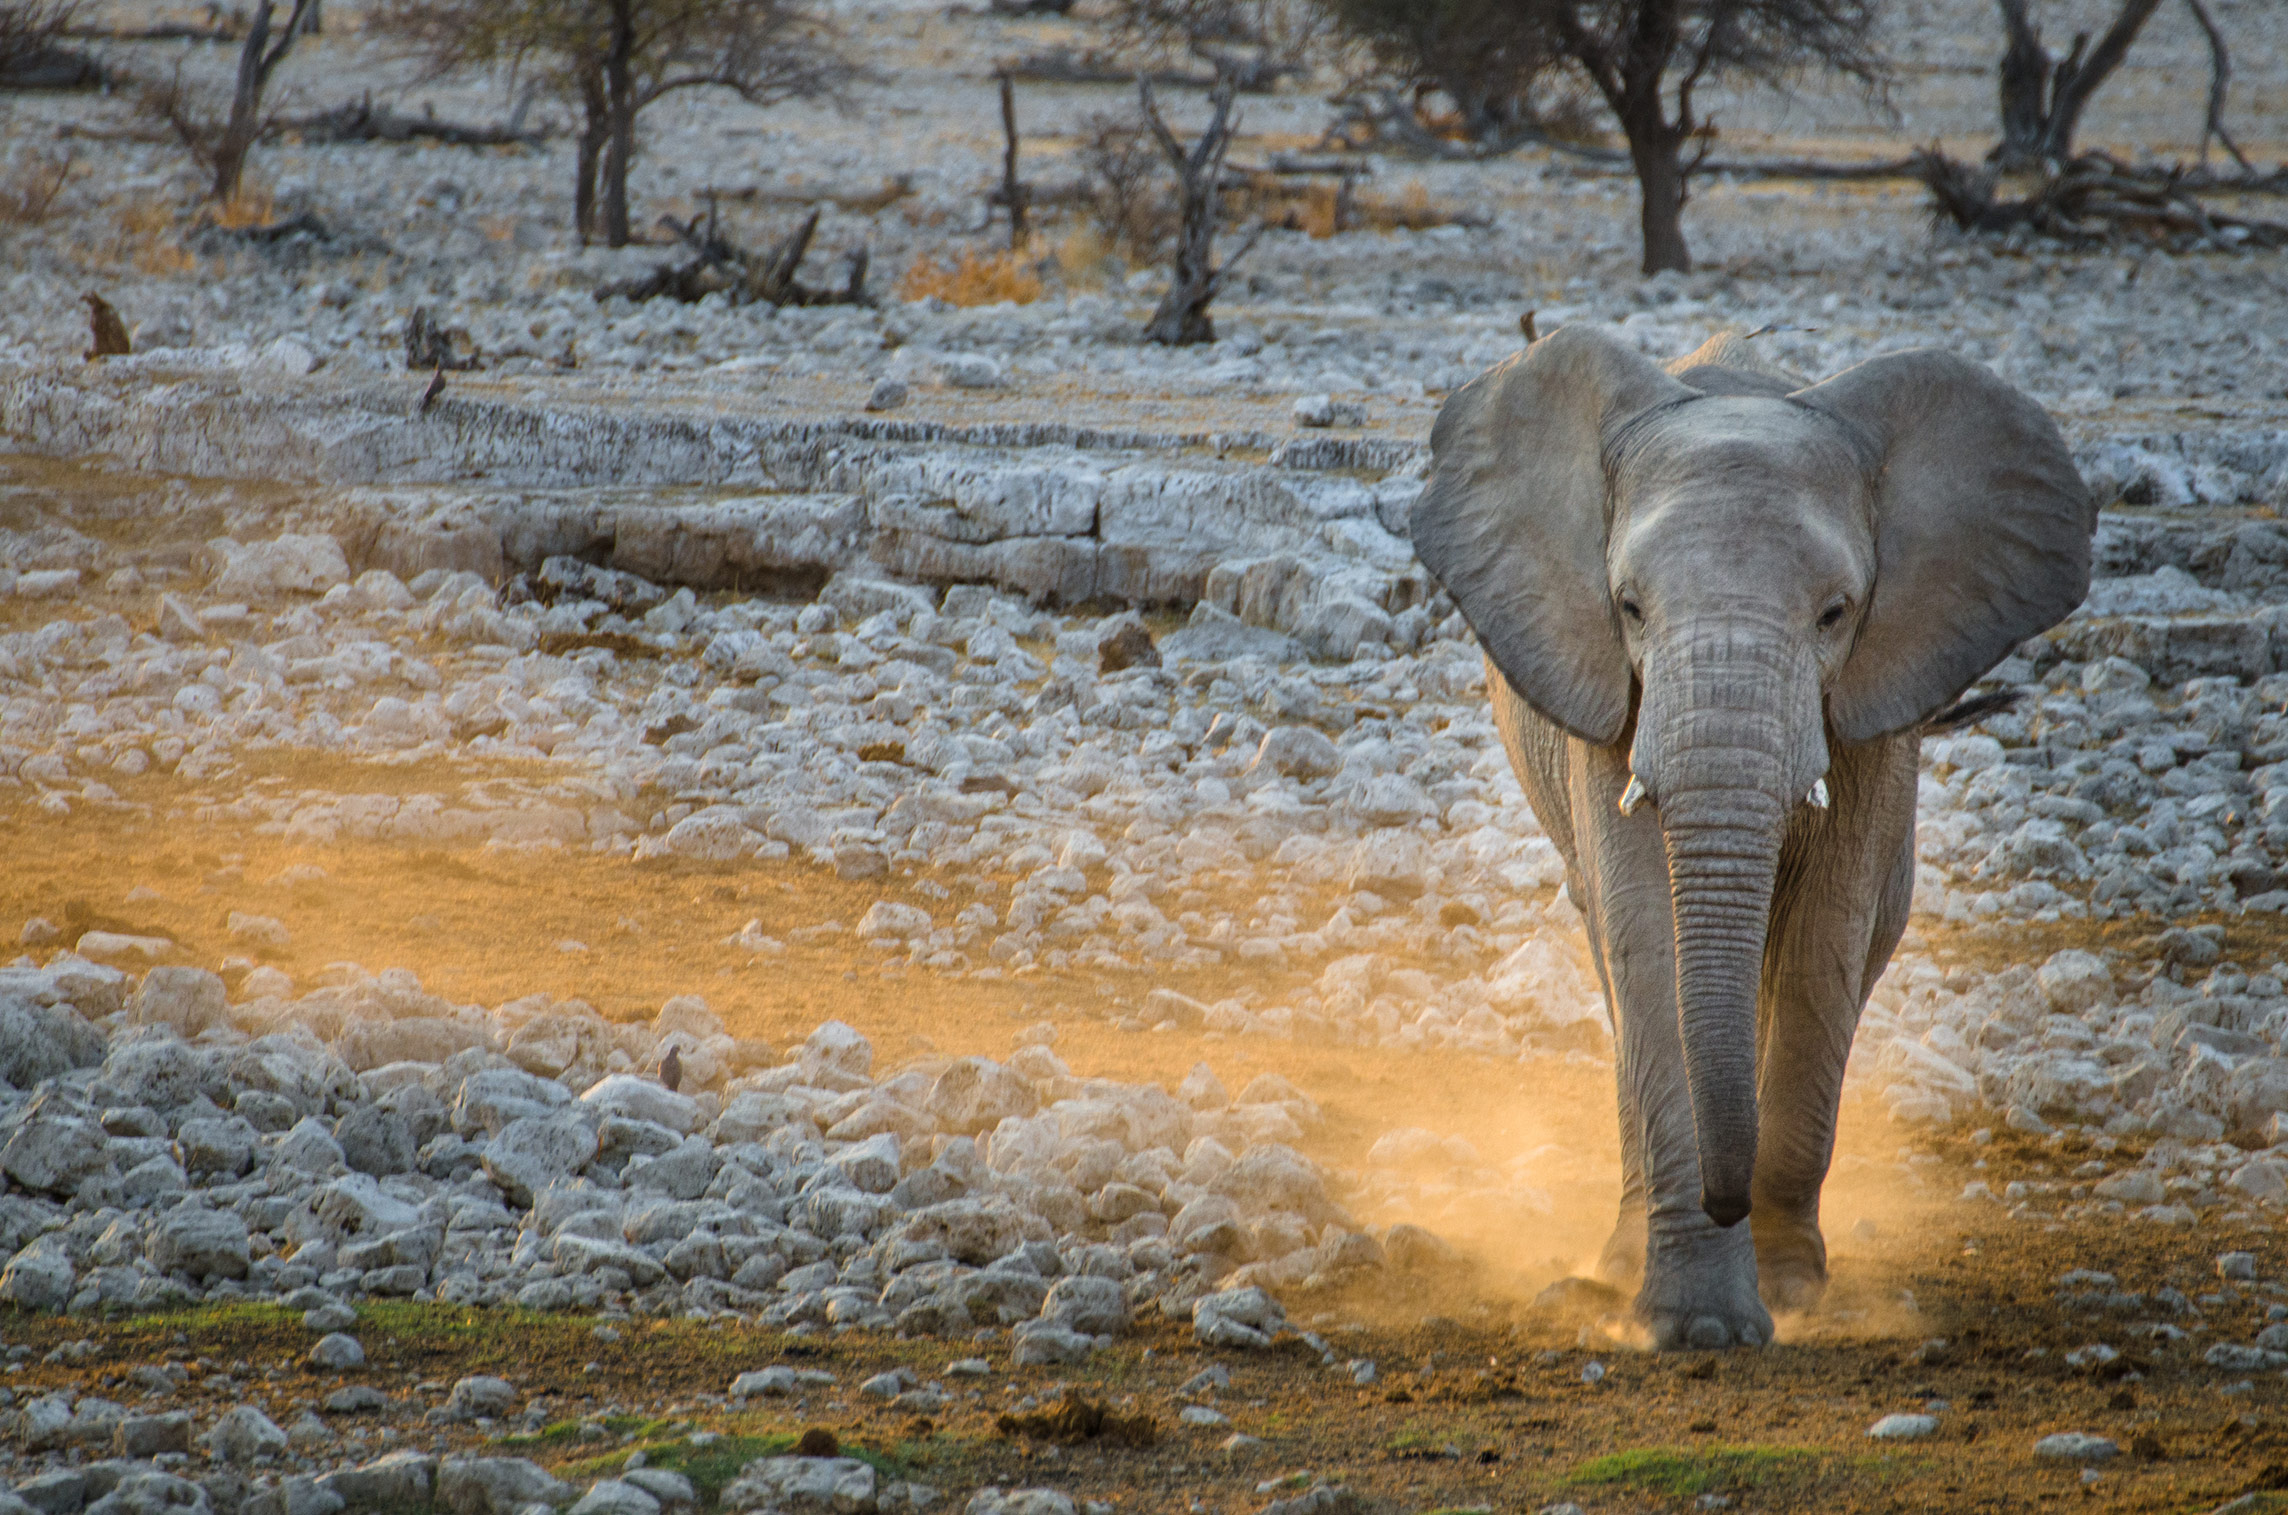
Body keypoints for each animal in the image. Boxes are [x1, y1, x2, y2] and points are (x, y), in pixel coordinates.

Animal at [1411, 324, 2096, 1349]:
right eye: (1629, 608)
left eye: (1835, 612)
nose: (1722, 1198)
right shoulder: (1608, 699)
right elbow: (1647, 937)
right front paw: (1697, 1327)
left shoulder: (1877, 703)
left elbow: (1824, 941)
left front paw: (1790, 1289)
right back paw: (1616, 1262)